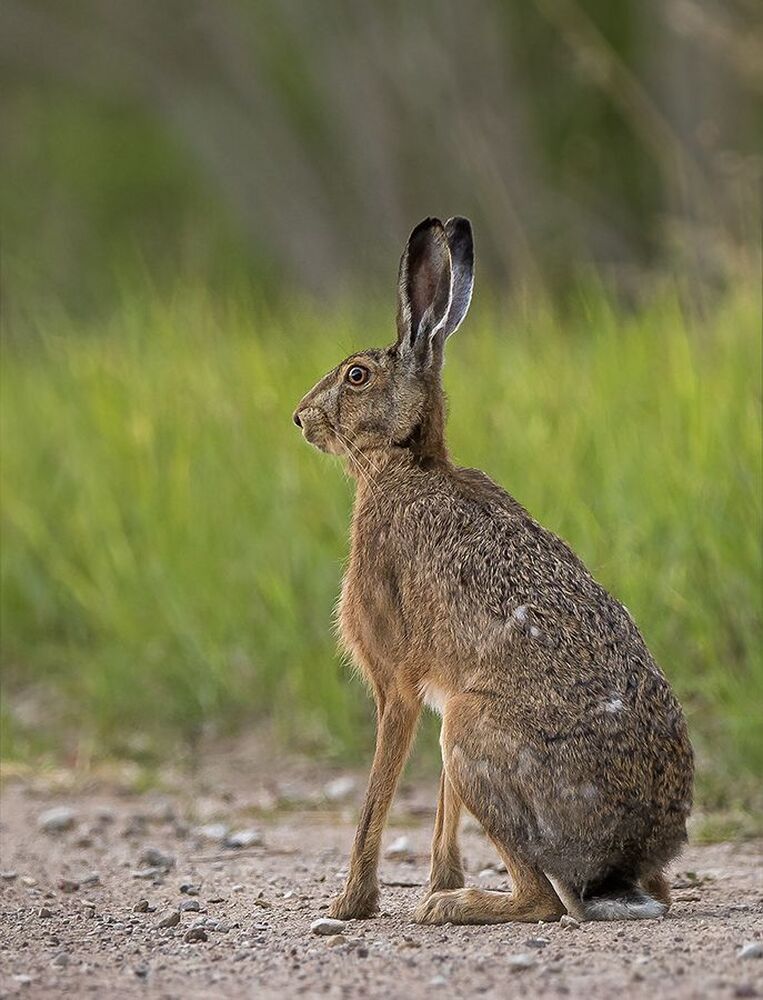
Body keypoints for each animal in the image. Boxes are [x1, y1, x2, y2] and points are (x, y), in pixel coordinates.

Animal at [292, 217, 694, 925]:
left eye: (357, 376)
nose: (301, 418)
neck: (404, 463)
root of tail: (631, 847)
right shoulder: (438, 690)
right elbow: (441, 814)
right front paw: (434, 878)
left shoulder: (397, 685)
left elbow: (376, 796)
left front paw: (351, 903)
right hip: (462, 729)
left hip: (471, 733)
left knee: (544, 901)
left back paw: (453, 908)